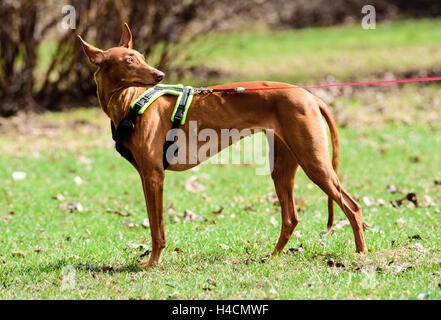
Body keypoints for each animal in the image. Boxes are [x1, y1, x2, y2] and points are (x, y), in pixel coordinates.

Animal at [77, 23, 366, 268]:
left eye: (141, 56)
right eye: (129, 60)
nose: (159, 74)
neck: (129, 102)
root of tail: (310, 95)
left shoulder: (154, 175)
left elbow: (157, 229)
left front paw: (152, 263)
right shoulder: (146, 176)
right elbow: (153, 222)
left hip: (314, 162)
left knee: (352, 207)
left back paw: (361, 253)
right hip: (282, 168)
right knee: (291, 217)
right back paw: (272, 256)